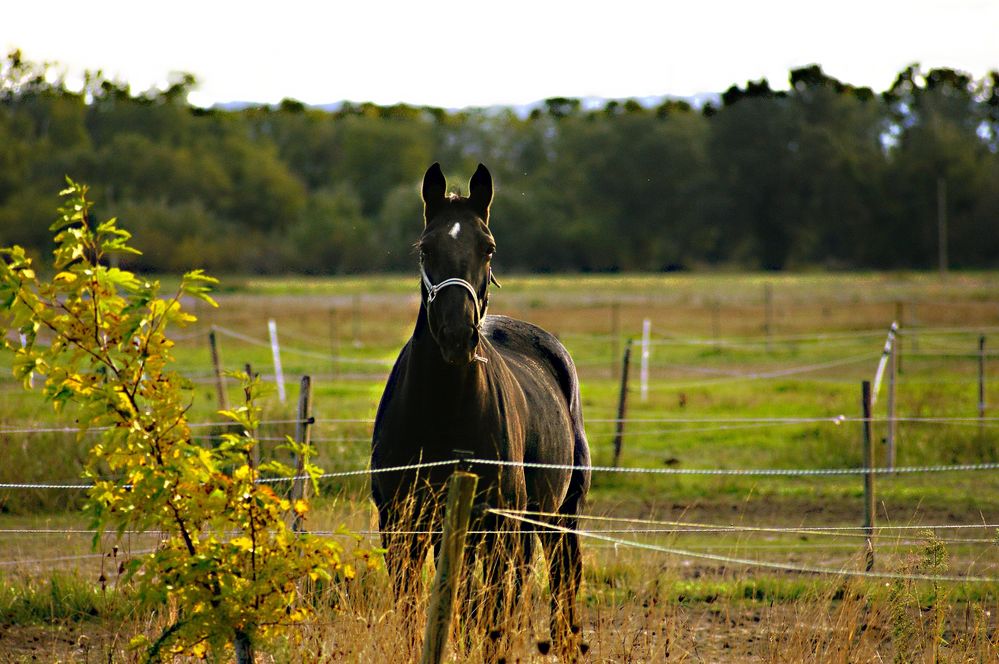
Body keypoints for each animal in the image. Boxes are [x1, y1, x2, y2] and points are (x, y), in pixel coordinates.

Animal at [374, 163, 592, 660]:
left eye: (488, 246)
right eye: (425, 247)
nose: (457, 335)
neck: (442, 413)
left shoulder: (495, 533)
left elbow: (492, 617)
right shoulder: (400, 530)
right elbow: (416, 618)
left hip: (559, 519)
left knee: (559, 589)